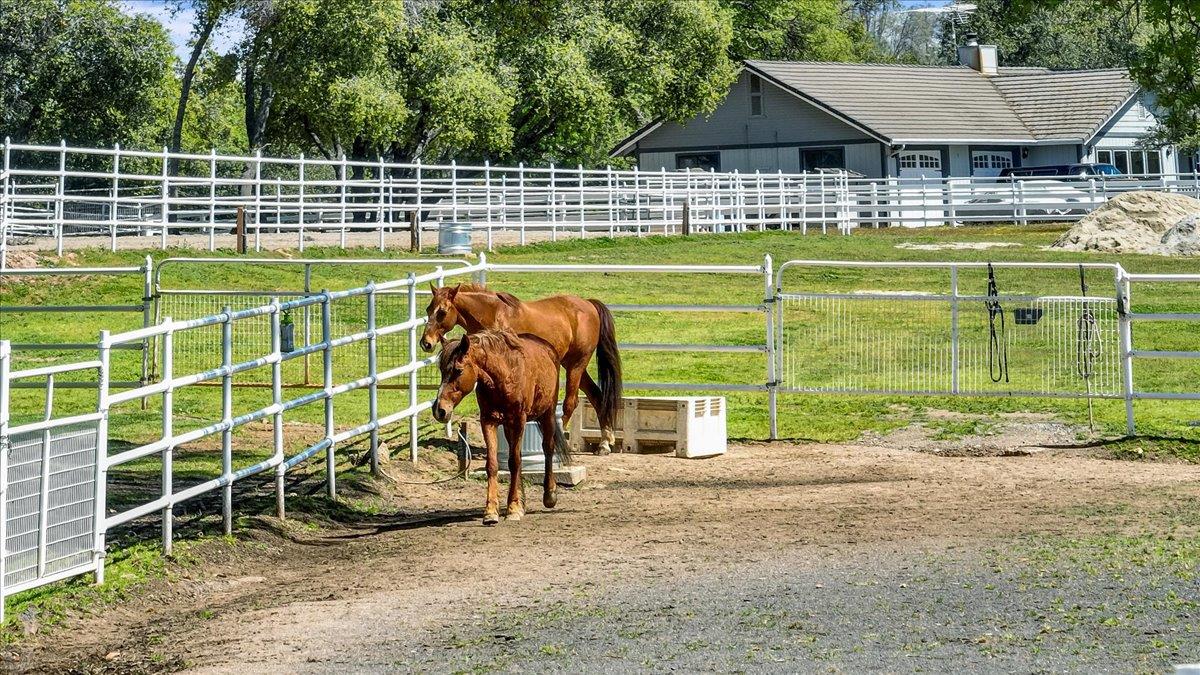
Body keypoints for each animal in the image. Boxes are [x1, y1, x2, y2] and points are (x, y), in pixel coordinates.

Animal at [422, 283, 624, 451]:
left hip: (576, 365)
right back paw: (605, 443)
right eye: (428, 309)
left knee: (570, 403)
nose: (425, 343)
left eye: (442, 312)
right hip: (572, 365)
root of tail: (589, 304)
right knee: (596, 396)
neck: (494, 314)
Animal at [432, 329, 571, 523]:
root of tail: (547, 347)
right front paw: (491, 511)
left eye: (458, 370)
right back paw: (522, 501)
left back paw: (549, 494)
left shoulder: (519, 420)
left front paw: (512, 508)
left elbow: (514, 462)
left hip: (548, 413)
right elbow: (493, 464)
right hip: (508, 426)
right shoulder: (488, 421)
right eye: (441, 370)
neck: (503, 376)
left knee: (547, 448)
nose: (439, 410)